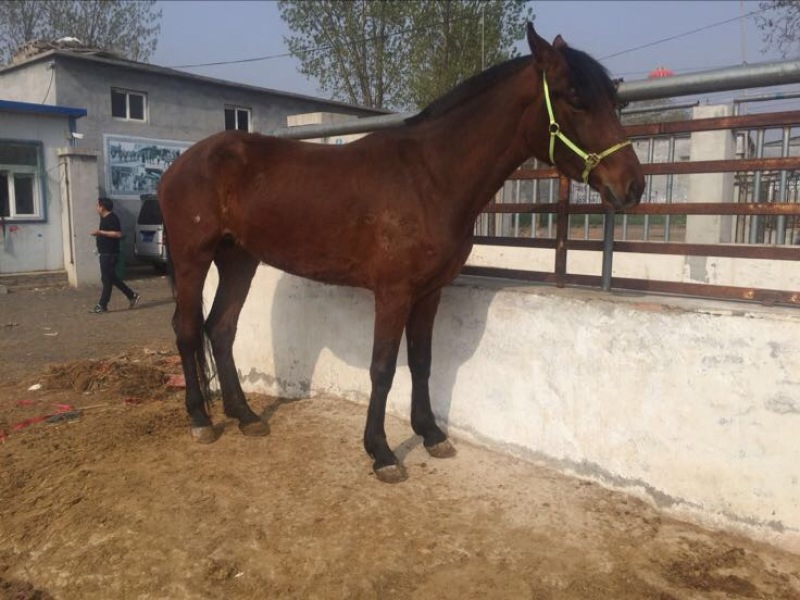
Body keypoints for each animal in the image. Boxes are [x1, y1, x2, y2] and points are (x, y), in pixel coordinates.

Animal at [158, 23, 645, 483]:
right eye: (575, 98)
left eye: (611, 99)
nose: (633, 186)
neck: (430, 177)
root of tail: (179, 164)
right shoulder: (393, 292)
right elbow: (383, 367)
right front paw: (382, 452)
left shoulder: (429, 292)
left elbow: (423, 361)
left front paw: (430, 434)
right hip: (193, 259)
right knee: (187, 329)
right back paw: (201, 420)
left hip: (239, 259)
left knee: (221, 328)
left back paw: (245, 416)